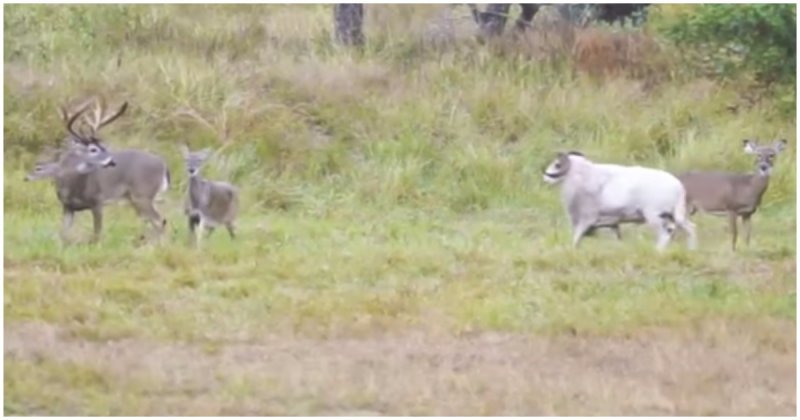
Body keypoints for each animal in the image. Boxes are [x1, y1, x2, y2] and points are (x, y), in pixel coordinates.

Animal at [26, 97, 172, 244]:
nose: (112, 161)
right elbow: (62, 233)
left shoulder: (97, 201)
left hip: (142, 195)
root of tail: (163, 165)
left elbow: (97, 234)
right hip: (137, 199)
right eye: (93, 149)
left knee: (159, 220)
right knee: (155, 221)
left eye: (103, 146)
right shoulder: (67, 207)